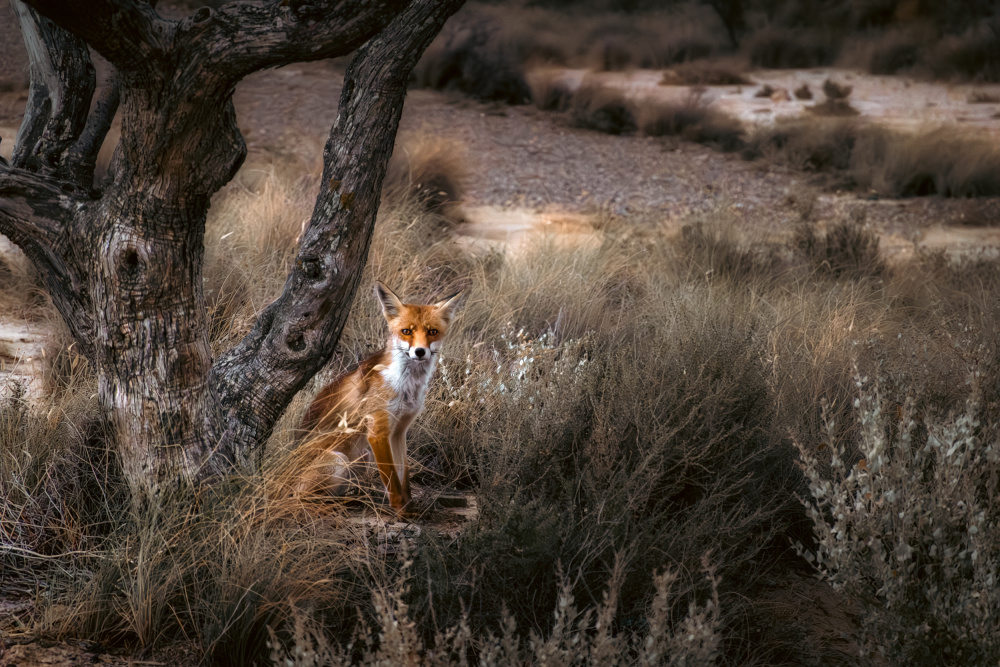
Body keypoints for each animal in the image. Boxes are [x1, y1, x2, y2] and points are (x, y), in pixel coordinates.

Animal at [292, 280, 458, 516]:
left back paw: (353, 499)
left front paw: (410, 506)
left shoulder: (399, 430)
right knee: (302, 501)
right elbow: (391, 479)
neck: (407, 386)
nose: (419, 352)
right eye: (406, 332)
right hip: (339, 460)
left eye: (432, 332)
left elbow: (404, 475)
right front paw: (401, 511)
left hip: (363, 458)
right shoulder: (378, 431)